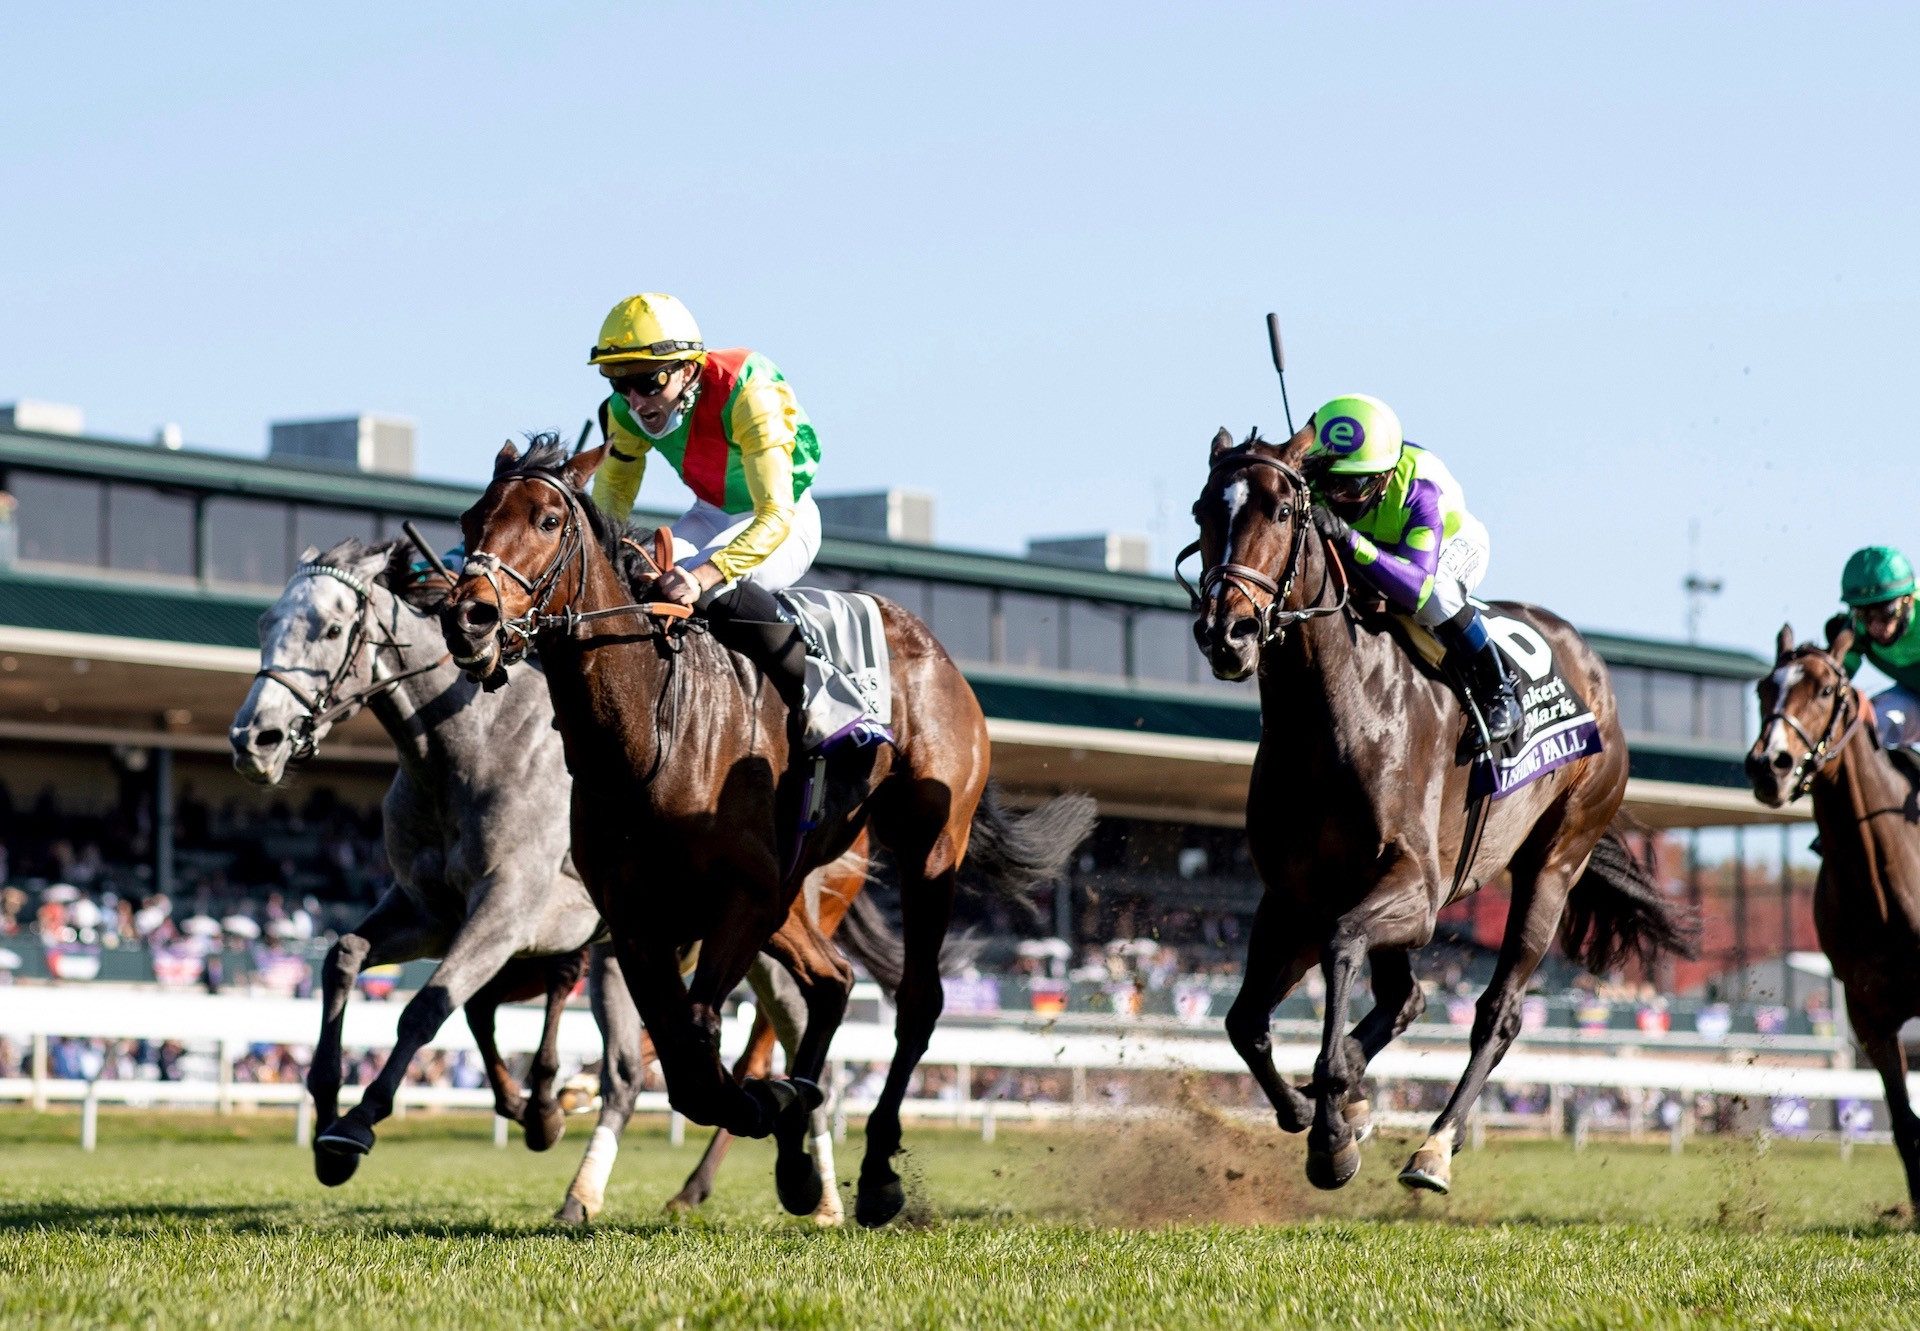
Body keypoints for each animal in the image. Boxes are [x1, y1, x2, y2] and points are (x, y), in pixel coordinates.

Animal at [228, 533, 902, 1221]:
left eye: (332, 628)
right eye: (265, 624)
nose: (255, 740)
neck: (465, 749)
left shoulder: (509, 911)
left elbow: (427, 1006)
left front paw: (356, 1126)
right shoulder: (431, 911)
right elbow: (348, 956)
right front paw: (330, 1107)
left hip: (757, 931)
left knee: (788, 1035)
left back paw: (814, 1188)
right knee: (639, 1066)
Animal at [439, 437, 1098, 1221]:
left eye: (545, 519)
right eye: (471, 517)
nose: (469, 618)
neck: (650, 731)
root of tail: (935, 650)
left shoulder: (738, 899)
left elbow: (697, 1042)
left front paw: (766, 1105)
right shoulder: (636, 919)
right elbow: (679, 1048)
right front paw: (778, 1120)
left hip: (927, 846)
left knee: (915, 999)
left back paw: (876, 1170)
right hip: (792, 891)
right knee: (832, 981)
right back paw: (799, 1150)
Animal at [1182, 428, 1697, 1190]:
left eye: (1280, 510)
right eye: (1202, 512)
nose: (1227, 631)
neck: (1337, 714)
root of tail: (1592, 665)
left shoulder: (1415, 888)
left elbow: (1341, 945)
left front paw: (1331, 1129)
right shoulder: (1293, 894)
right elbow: (1244, 1021)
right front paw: (1318, 1114)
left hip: (1555, 861)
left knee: (1497, 1013)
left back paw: (1432, 1146)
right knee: (1407, 998)